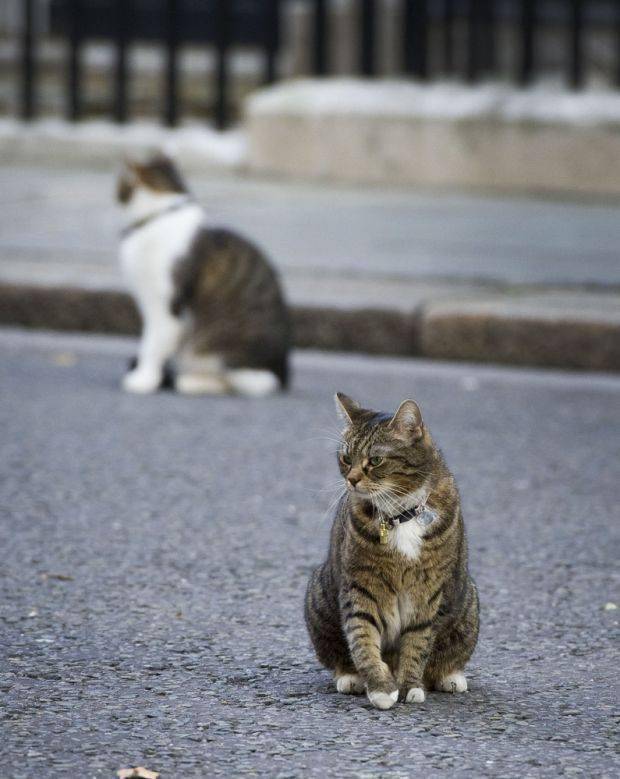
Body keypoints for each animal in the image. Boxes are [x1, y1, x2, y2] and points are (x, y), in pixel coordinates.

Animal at [117, 152, 290, 396]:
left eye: (119, 186)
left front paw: (143, 378)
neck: (164, 213)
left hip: (225, 349)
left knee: (249, 383)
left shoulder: (164, 304)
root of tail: (284, 374)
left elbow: (152, 343)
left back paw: (191, 382)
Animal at [306, 394, 480, 708]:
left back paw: (450, 677)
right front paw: (381, 687)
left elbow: (418, 641)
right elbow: (362, 636)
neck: (399, 514)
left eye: (375, 460)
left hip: (468, 605)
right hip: (319, 597)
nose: (351, 479)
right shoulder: (361, 586)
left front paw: (409, 684)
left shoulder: (428, 592)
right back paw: (351, 677)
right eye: (346, 458)